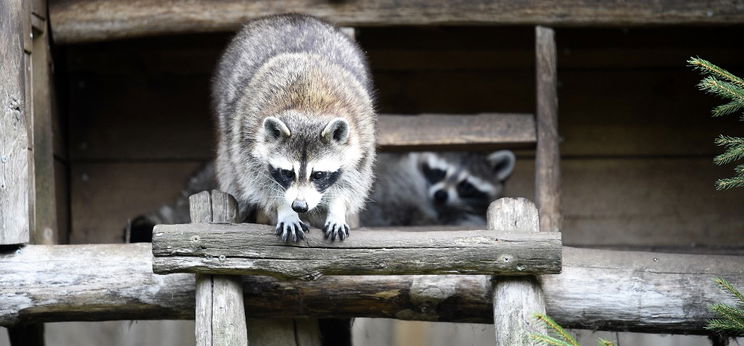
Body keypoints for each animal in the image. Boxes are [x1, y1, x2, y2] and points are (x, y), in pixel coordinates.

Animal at [214, 14, 378, 243]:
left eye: (318, 174)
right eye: (287, 173)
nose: (299, 206)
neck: (308, 108)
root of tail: (288, 16)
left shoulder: (362, 136)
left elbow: (352, 181)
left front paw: (337, 208)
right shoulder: (247, 135)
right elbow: (260, 183)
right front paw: (285, 209)